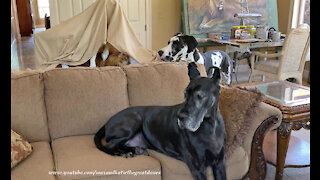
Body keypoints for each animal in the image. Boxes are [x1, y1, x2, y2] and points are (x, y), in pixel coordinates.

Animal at [94, 62, 226, 180]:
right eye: (185, 94)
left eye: (200, 95)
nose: (179, 117)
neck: (210, 126)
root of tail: (107, 122)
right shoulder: (197, 168)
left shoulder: (220, 164)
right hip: (134, 121)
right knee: (108, 145)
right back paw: (123, 153)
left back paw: (136, 150)